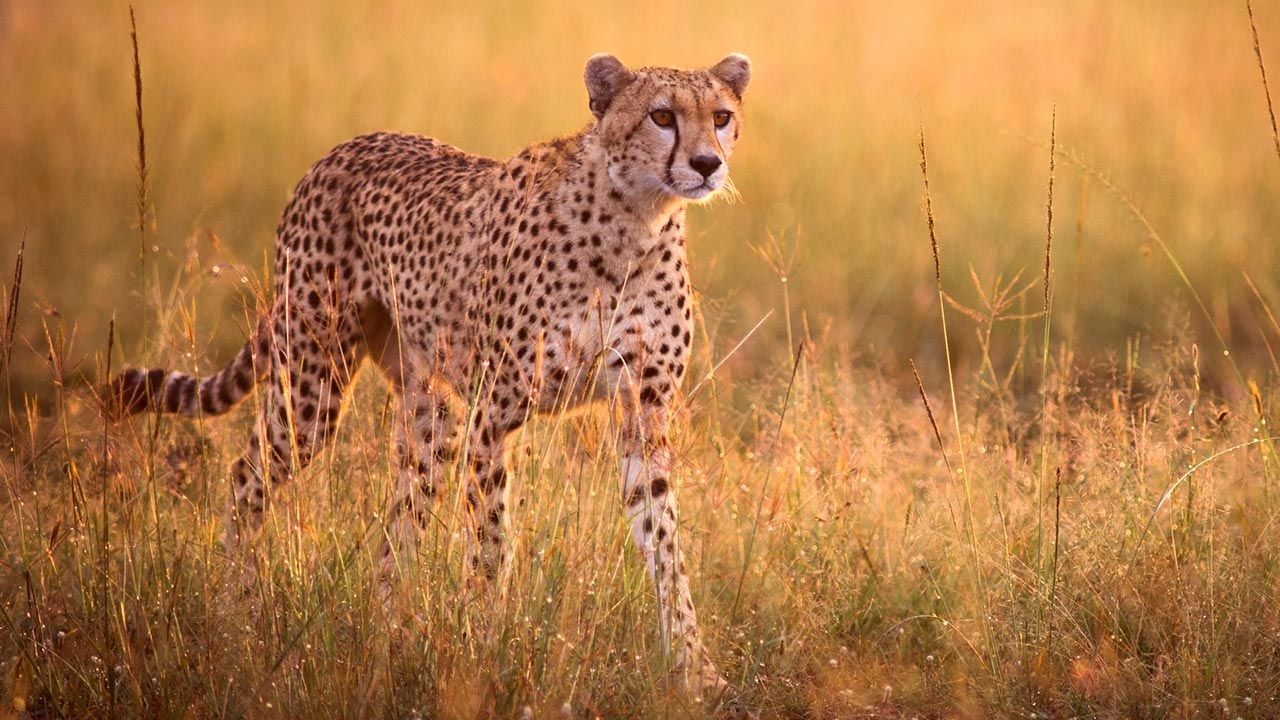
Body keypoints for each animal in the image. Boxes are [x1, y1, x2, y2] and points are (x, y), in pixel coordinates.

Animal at [107, 52, 751, 692]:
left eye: (720, 116)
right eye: (661, 116)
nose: (706, 164)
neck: (634, 220)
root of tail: (344, 148)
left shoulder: (644, 412)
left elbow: (665, 545)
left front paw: (695, 669)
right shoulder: (494, 414)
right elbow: (491, 547)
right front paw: (487, 652)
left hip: (431, 415)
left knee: (398, 525)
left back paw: (391, 635)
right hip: (313, 384)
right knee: (248, 475)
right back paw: (235, 612)